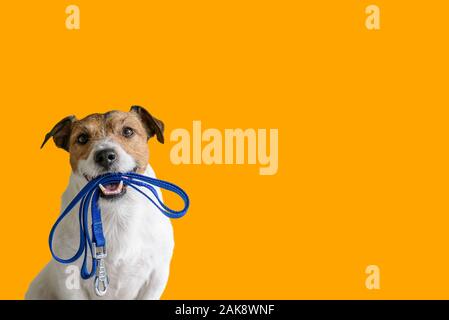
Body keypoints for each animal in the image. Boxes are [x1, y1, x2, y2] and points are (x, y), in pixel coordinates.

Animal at [25, 106, 175, 298]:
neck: (116, 211)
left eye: (128, 131)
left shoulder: (157, 275)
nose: (104, 155)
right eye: (82, 138)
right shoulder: (70, 279)